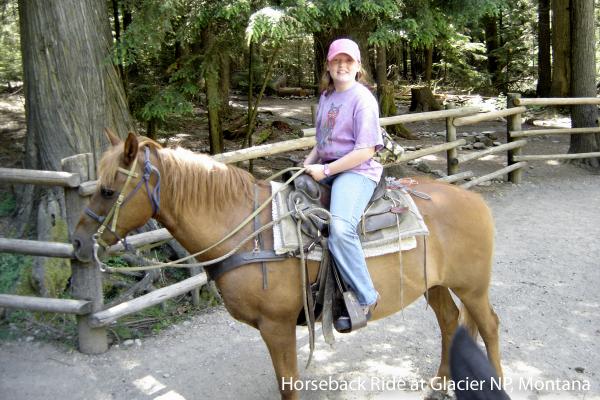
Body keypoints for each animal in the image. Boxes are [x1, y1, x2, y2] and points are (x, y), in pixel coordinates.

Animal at [71, 131, 502, 396]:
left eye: (107, 190)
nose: (77, 242)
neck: (248, 231)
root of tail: (473, 199)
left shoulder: (276, 326)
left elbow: (288, 384)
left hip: (473, 287)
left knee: (489, 326)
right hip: (436, 285)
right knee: (449, 322)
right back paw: (441, 384)